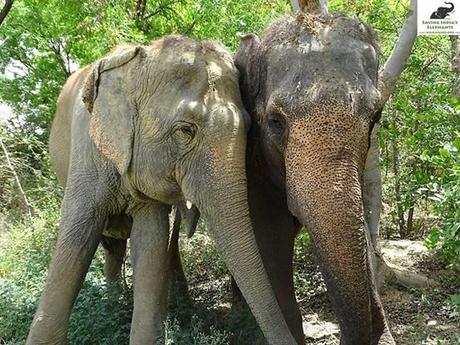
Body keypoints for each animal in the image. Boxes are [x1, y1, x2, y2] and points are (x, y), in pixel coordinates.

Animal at [27, 35, 298, 344]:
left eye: (251, 128)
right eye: (185, 131)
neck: (140, 59)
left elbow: (152, 242)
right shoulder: (87, 151)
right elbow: (76, 238)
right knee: (111, 244)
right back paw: (115, 302)